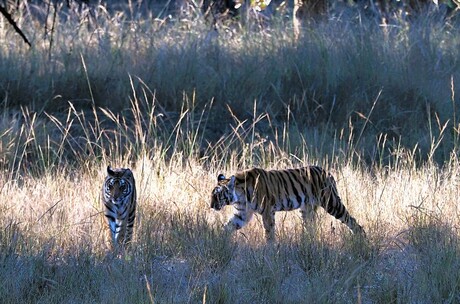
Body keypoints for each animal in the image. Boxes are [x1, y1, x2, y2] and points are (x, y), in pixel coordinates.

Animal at [210, 165, 364, 241]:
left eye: (217, 196)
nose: (211, 206)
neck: (239, 195)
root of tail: (327, 172)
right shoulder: (242, 214)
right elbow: (228, 226)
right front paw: (218, 240)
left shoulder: (267, 211)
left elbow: (269, 232)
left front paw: (270, 249)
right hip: (307, 209)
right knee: (311, 227)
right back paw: (307, 242)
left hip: (331, 202)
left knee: (351, 220)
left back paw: (361, 239)